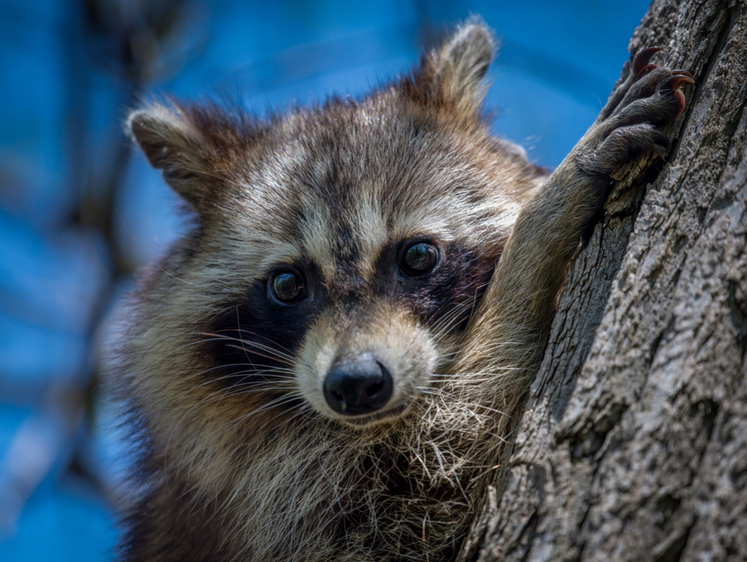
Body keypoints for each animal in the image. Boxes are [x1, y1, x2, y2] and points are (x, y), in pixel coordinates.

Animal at [108, 19, 692, 556]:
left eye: (417, 257)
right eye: (287, 284)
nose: (355, 384)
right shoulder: (278, 499)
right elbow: (439, 466)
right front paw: (543, 224)